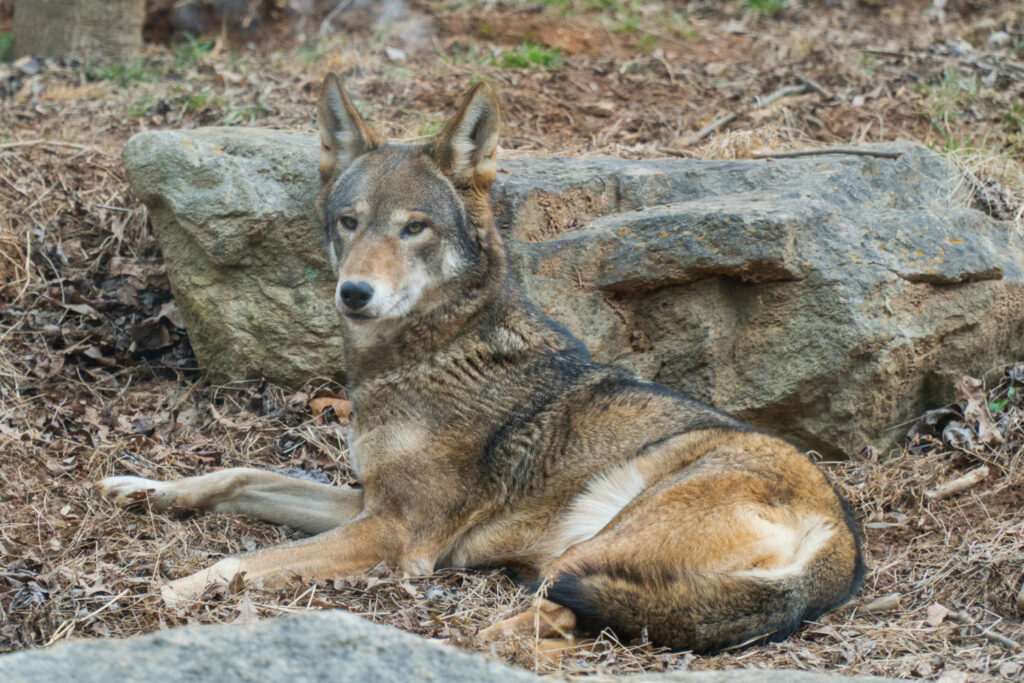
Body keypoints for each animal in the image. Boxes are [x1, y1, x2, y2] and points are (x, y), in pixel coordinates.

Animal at [99, 74, 864, 653]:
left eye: (415, 227)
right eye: (350, 221)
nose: (355, 293)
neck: (423, 357)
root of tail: (845, 540)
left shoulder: (396, 534)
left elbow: (239, 559)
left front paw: (171, 591)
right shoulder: (368, 502)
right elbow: (237, 476)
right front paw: (143, 488)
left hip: (589, 547)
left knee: (554, 614)